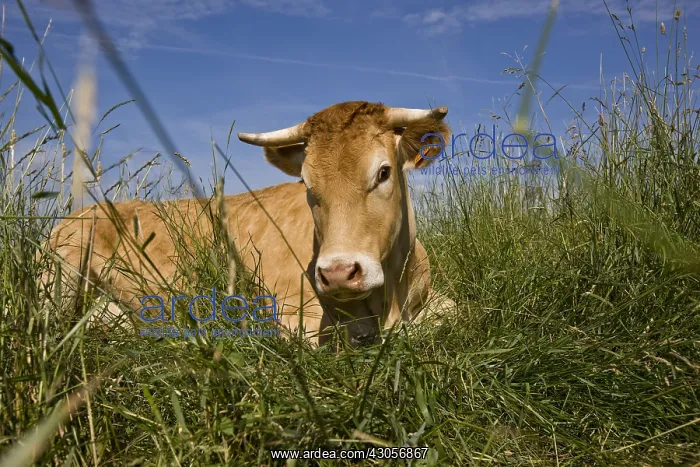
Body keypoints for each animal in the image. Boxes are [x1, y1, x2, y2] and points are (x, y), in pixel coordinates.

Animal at [38, 101, 452, 347]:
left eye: (383, 172)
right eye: (307, 184)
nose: (337, 273)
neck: (388, 299)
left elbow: (450, 312)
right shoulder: (293, 315)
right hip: (59, 278)